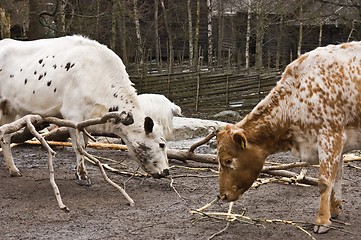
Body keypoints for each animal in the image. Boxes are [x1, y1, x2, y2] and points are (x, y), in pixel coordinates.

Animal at [0, 35, 169, 182]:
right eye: (161, 144)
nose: (166, 172)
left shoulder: (87, 120)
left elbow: (85, 144)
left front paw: (79, 171)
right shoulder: (72, 114)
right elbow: (79, 146)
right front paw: (82, 174)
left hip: (8, 110)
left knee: (6, 136)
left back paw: (13, 170)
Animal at [215, 41, 360, 232]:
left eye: (228, 160)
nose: (222, 195)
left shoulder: (330, 136)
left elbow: (324, 181)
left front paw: (322, 221)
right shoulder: (341, 142)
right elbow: (337, 178)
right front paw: (334, 211)